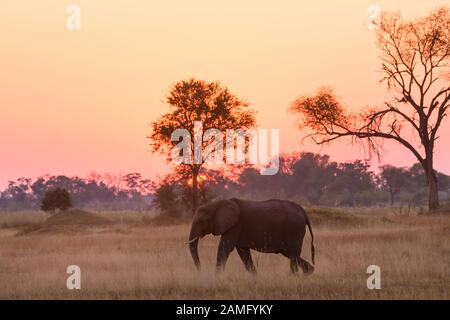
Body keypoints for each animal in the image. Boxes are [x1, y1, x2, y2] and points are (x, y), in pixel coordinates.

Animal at [185, 198, 314, 276]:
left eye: (201, 221)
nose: (200, 271)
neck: (217, 203)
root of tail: (303, 211)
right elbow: (243, 252)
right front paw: (255, 277)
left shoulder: (234, 226)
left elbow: (224, 248)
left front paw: (217, 277)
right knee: (292, 253)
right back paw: (308, 272)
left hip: (294, 229)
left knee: (293, 253)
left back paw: (293, 276)